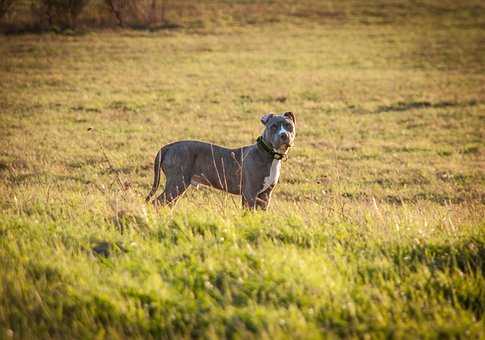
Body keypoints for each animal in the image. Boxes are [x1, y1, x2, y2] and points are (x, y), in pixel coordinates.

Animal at [144, 111, 294, 210]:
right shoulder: (250, 194)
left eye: (289, 126)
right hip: (176, 184)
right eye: (273, 126)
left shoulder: (265, 196)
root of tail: (168, 146)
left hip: (176, 186)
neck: (269, 155)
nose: (284, 135)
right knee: (156, 203)